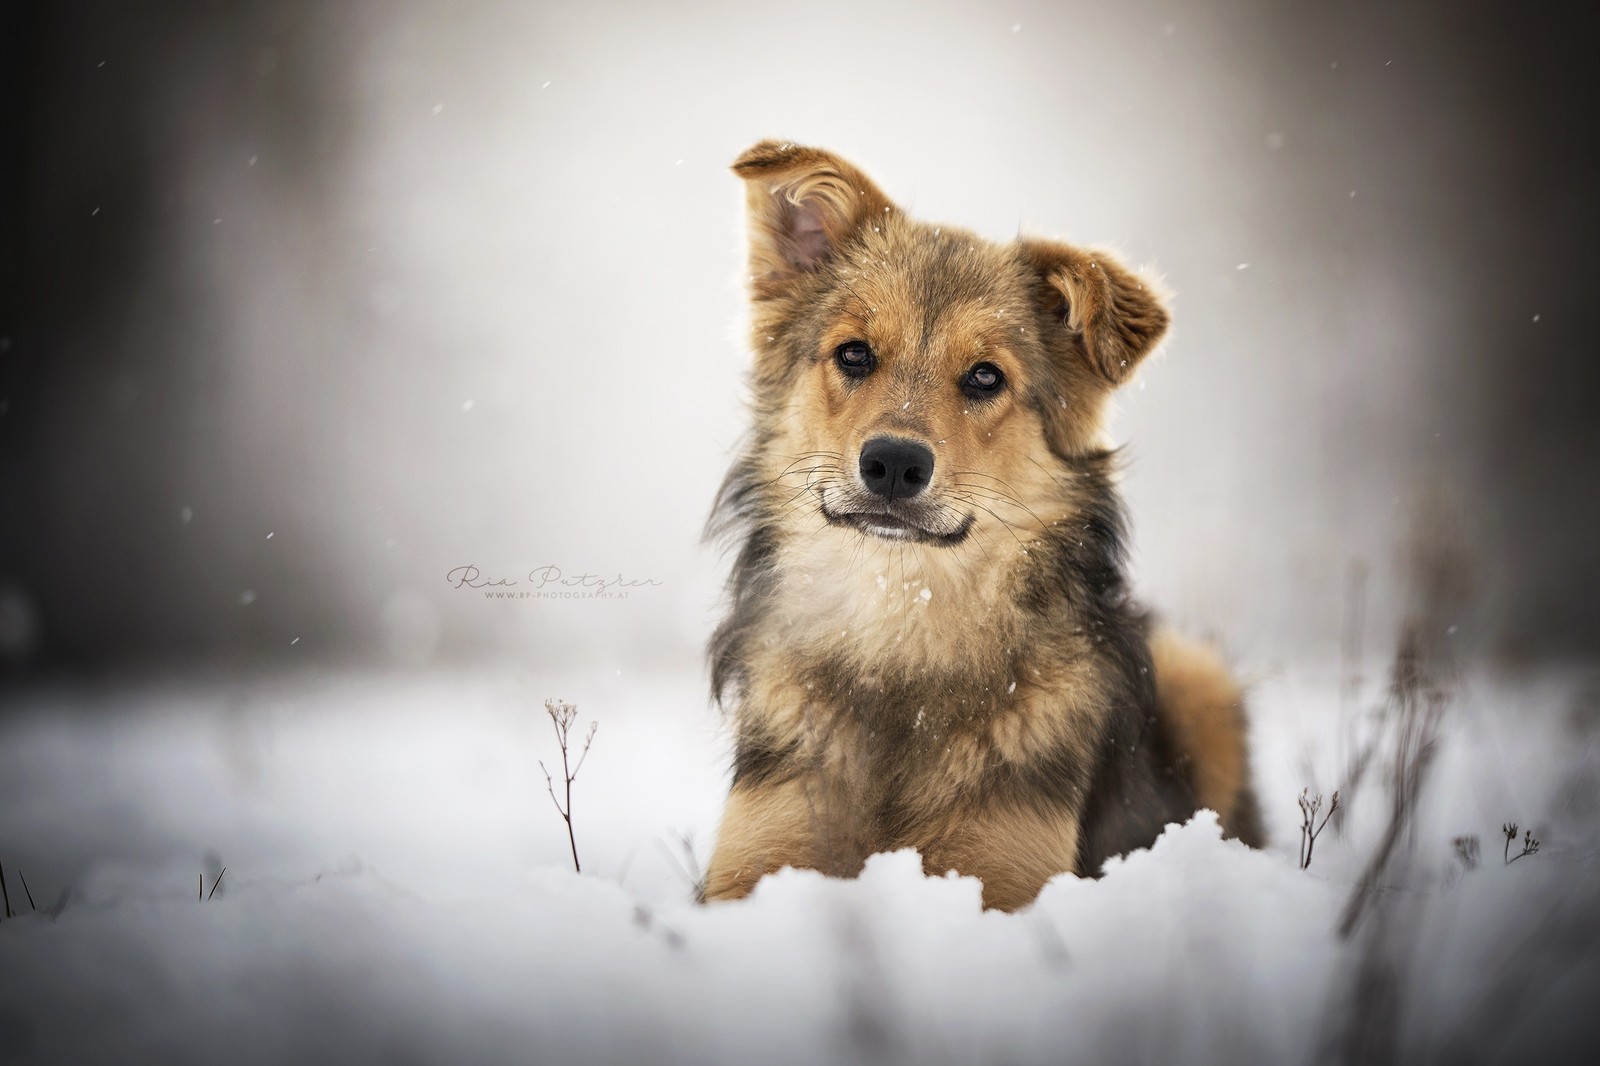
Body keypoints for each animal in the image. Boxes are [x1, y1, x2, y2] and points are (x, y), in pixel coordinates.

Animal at [700, 139, 1260, 902]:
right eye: (854, 354)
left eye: (986, 377)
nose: (894, 464)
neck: (902, 627)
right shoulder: (755, 854)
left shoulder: (1007, 872)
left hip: (1197, 674)